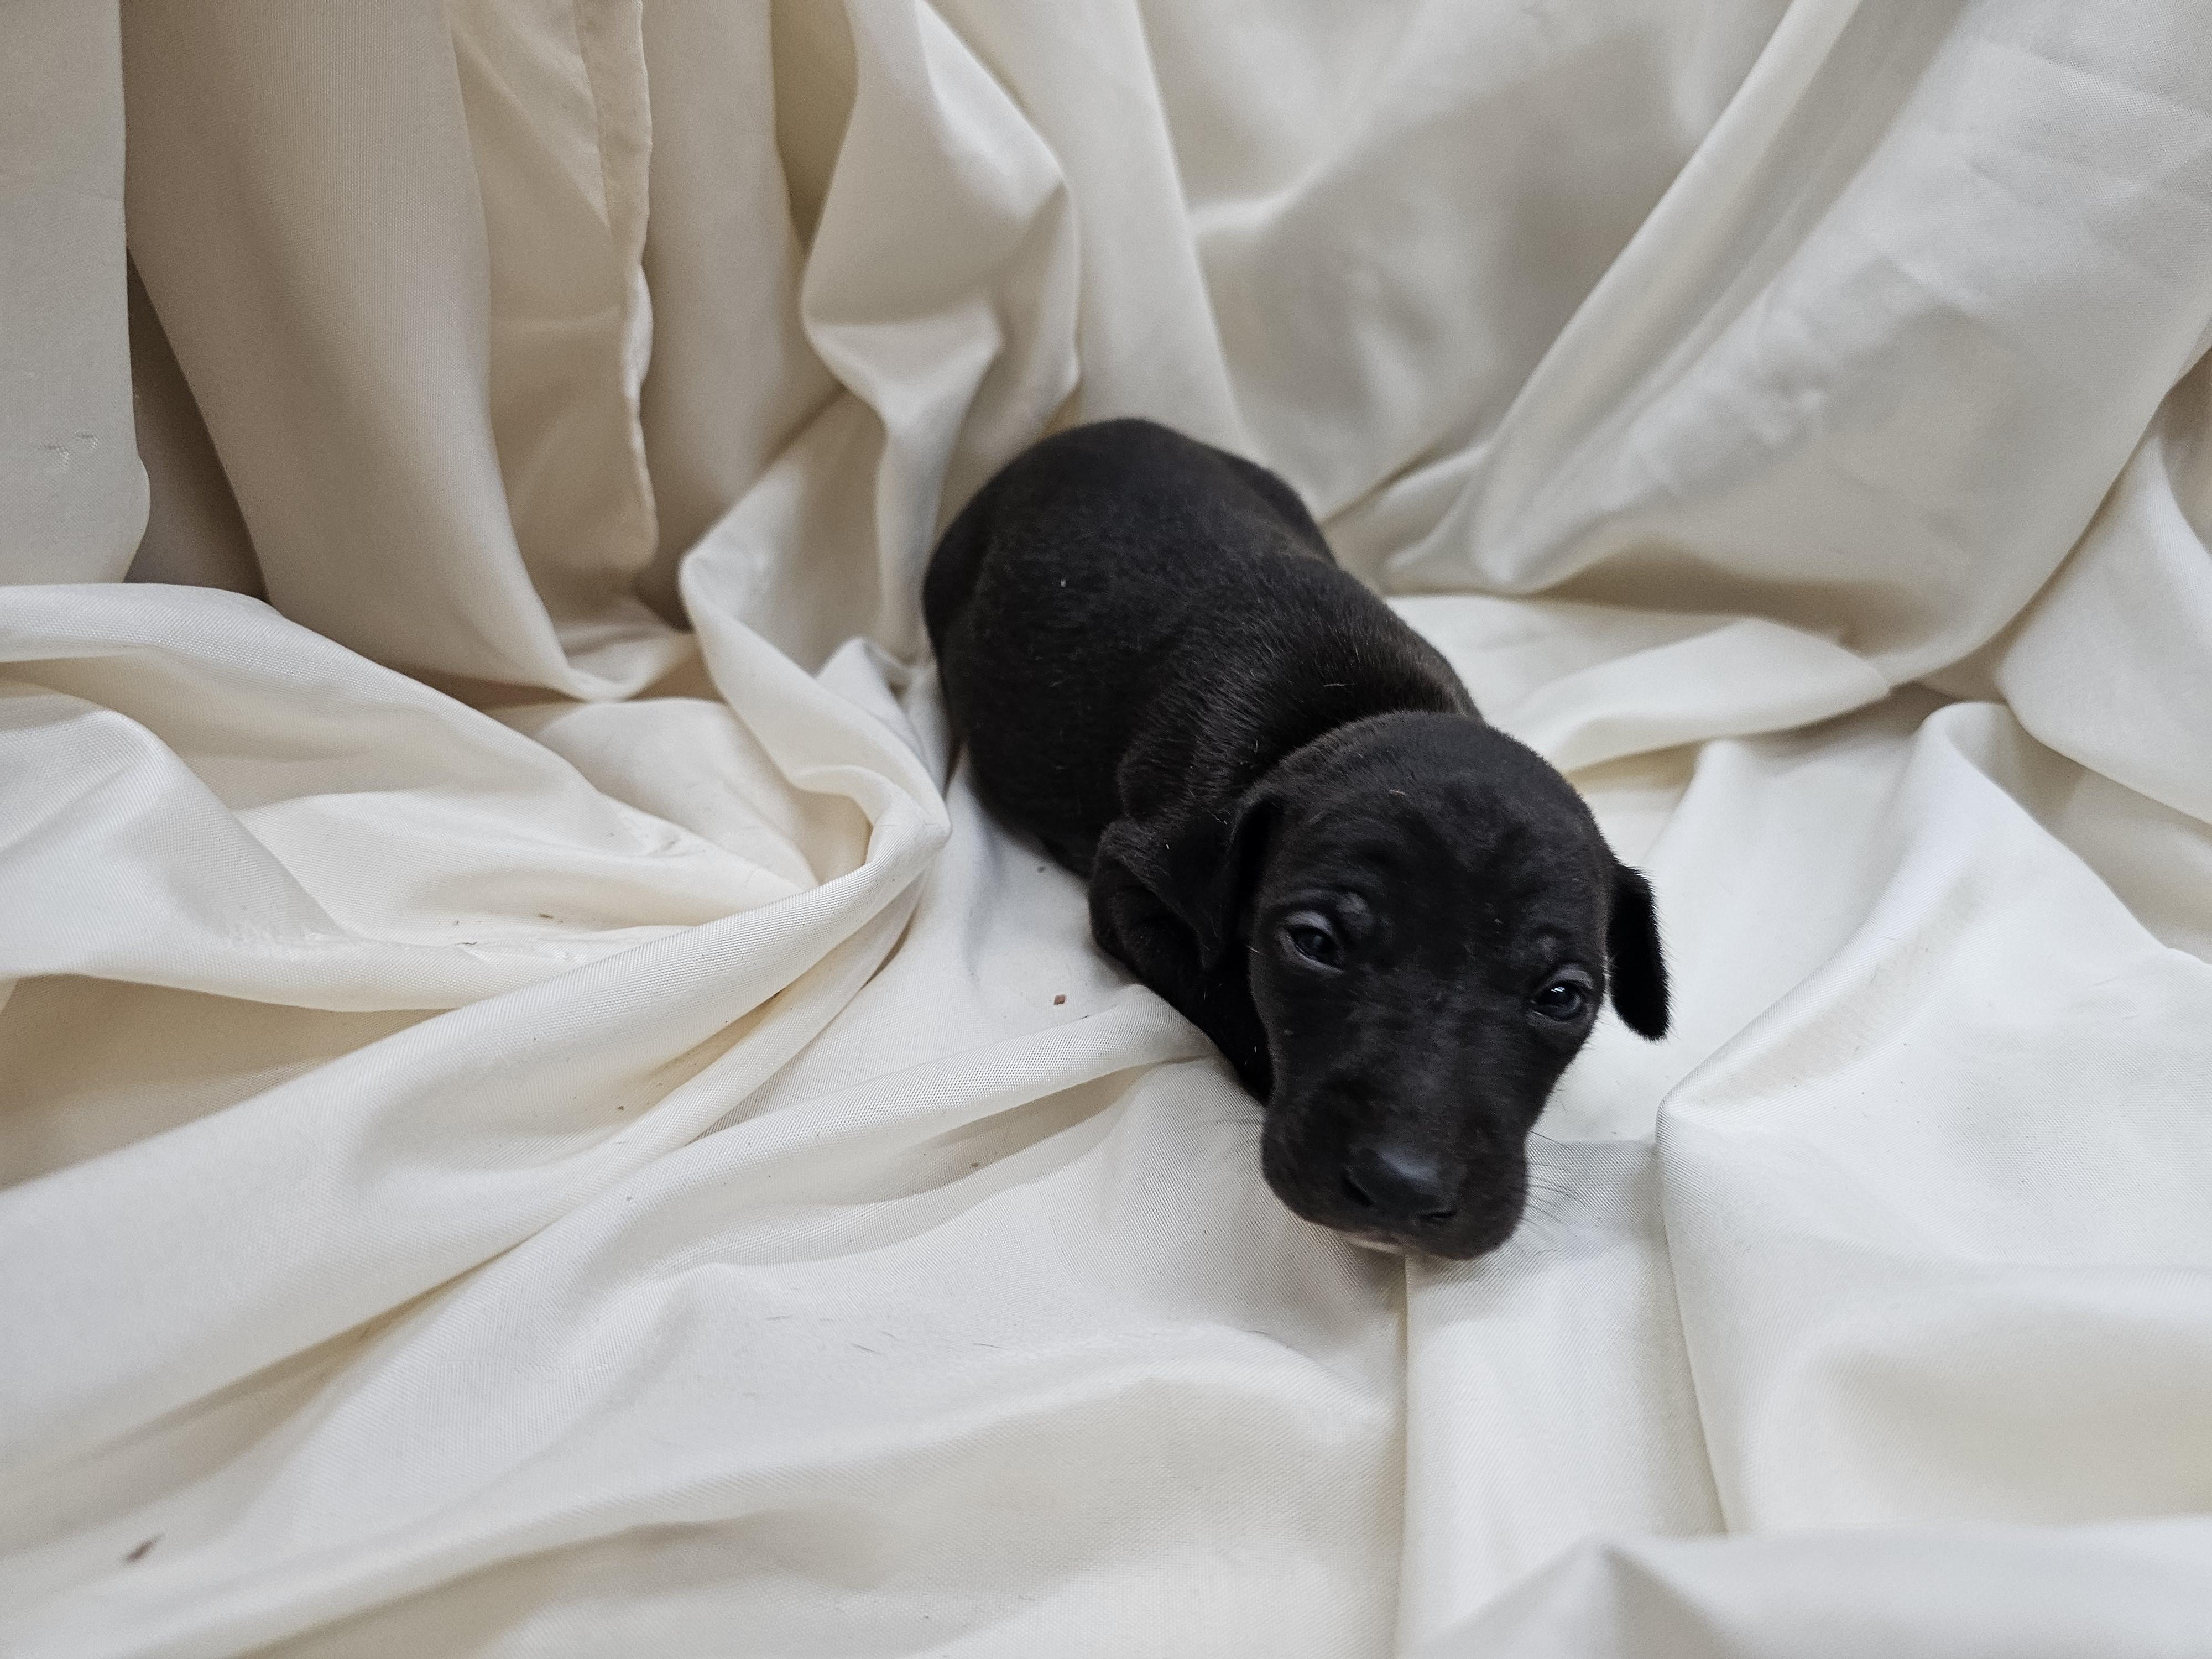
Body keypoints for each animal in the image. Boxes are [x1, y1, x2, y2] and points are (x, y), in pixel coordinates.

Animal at [924, 419, 1668, 1258]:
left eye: (1562, 997)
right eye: (1314, 944)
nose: (1403, 1187)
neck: (1348, 713)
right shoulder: (1133, 878)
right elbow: (1223, 989)